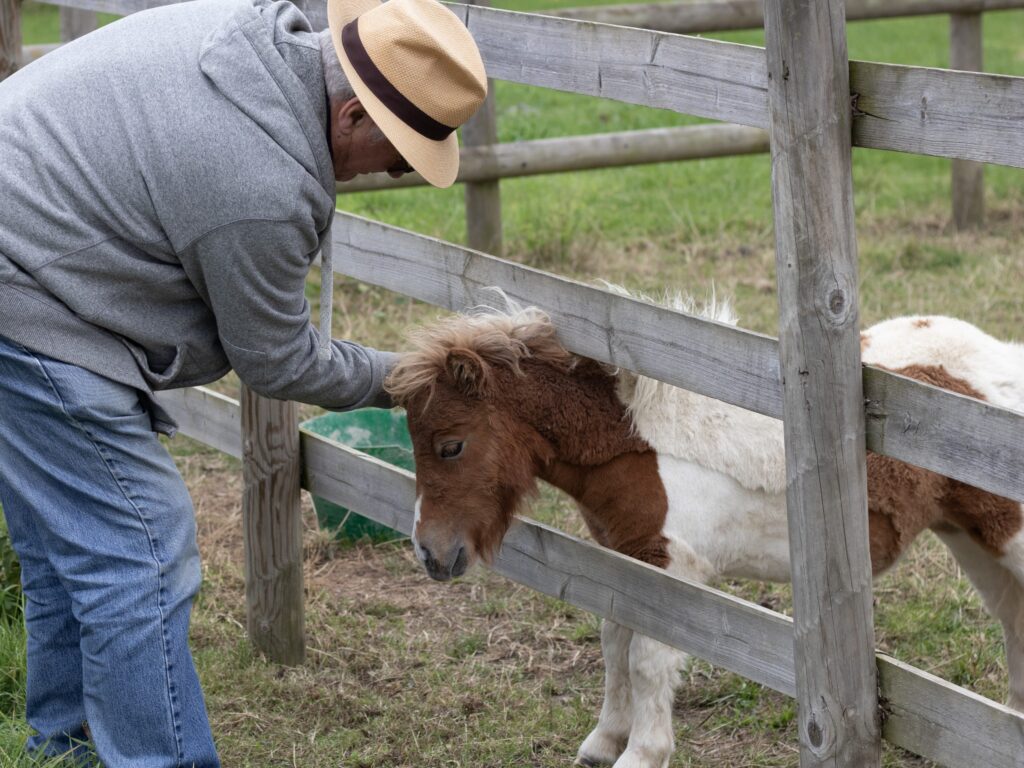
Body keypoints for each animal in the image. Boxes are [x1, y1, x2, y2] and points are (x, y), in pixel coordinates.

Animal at [384, 296, 1024, 768]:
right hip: (970, 538)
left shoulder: (671, 564)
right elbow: (614, 644)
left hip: (1006, 534)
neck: (638, 442)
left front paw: (642, 753)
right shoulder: (622, 557)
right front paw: (603, 743)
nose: (430, 553)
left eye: (451, 446)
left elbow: (647, 659)